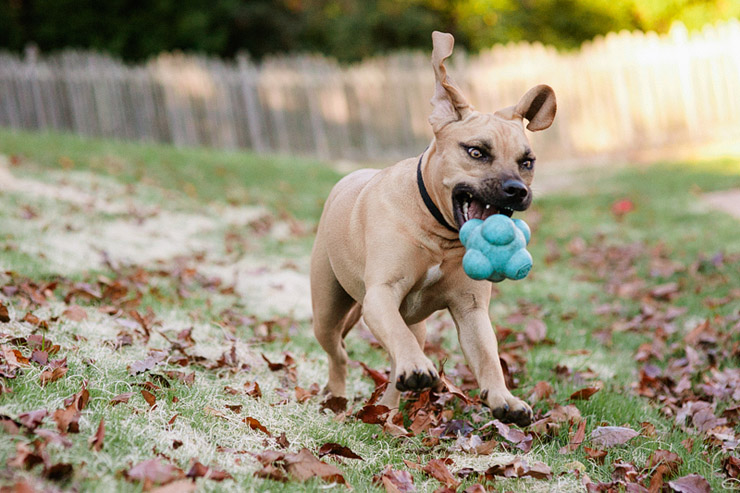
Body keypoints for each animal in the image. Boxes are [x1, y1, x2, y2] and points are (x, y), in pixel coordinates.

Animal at [310, 30, 556, 424]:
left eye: (527, 161)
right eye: (476, 152)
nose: (517, 190)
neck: (439, 233)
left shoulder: (471, 310)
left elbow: (488, 356)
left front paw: (503, 397)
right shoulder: (381, 294)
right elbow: (397, 336)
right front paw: (415, 366)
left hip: (416, 323)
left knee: (396, 357)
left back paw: (389, 409)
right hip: (327, 310)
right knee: (341, 353)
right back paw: (339, 396)